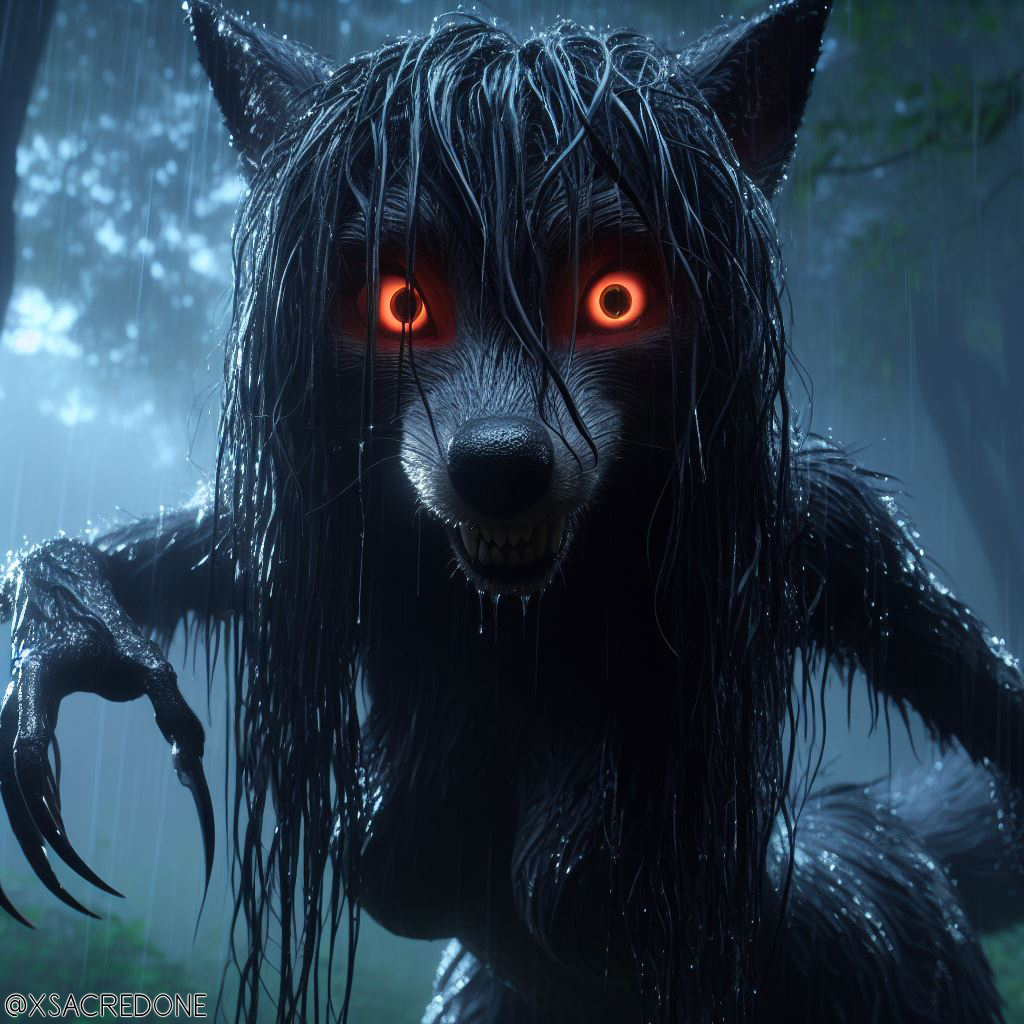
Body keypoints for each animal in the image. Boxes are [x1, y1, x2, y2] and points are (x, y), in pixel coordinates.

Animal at [1, 1, 1023, 1021]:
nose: (498, 464)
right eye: (399, 304)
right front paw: (68, 640)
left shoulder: (823, 525)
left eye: (616, 298)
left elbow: (982, 694)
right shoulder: (316, 523)